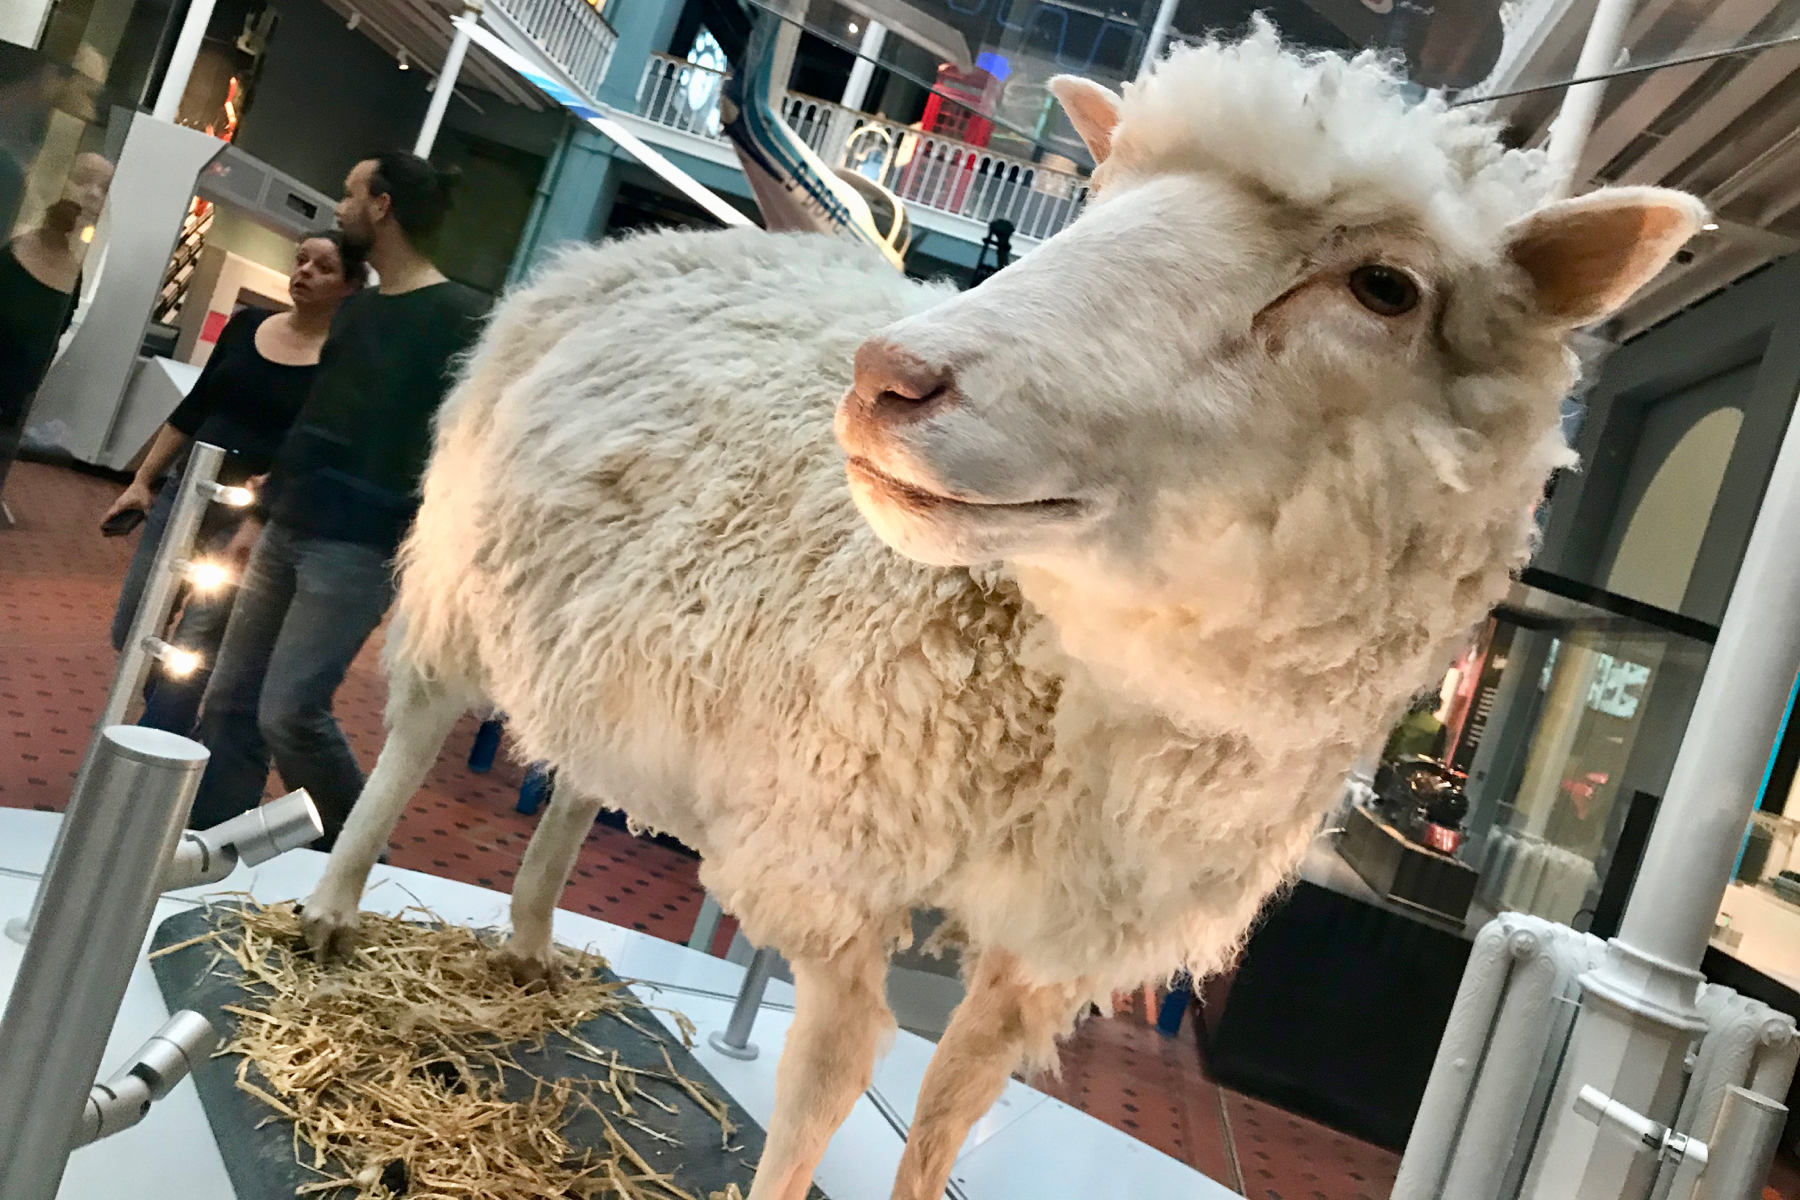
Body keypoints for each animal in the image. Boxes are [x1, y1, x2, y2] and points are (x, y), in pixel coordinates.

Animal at [297, 24, 1704, 1200]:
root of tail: (648, 243)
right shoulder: (836, 862)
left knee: (584, 774)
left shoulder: (1054, 945)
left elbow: (947, 1109)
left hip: (631, 643)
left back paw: (535, 937)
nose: (889, 379)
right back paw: (331, 912)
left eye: (1388, 291)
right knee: (416, 726)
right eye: (1105, 198)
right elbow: (825, 1087)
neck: (1084, 694)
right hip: (460, 572)